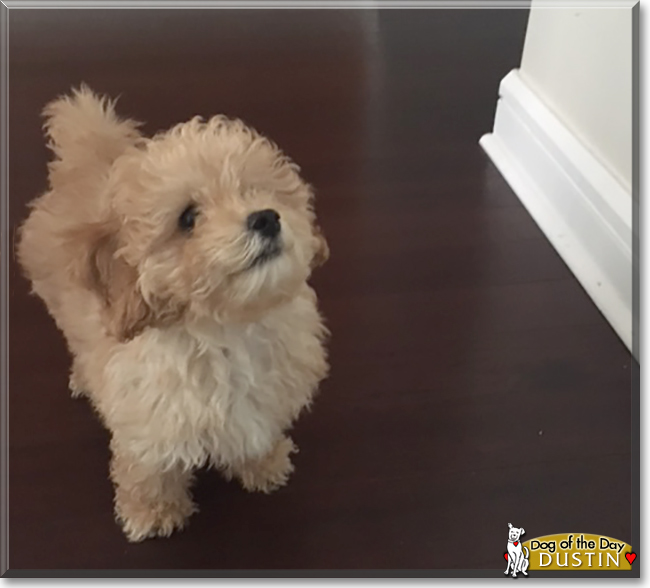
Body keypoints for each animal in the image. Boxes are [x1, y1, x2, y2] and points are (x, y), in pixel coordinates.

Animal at [16, 87, 330, 544]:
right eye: (187, 218)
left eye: (257, 192)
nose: (266, 218)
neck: (227, 329)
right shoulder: (145, 416)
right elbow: (148, 469)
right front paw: (151, 512)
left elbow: (258, 431)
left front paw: (265, 464)